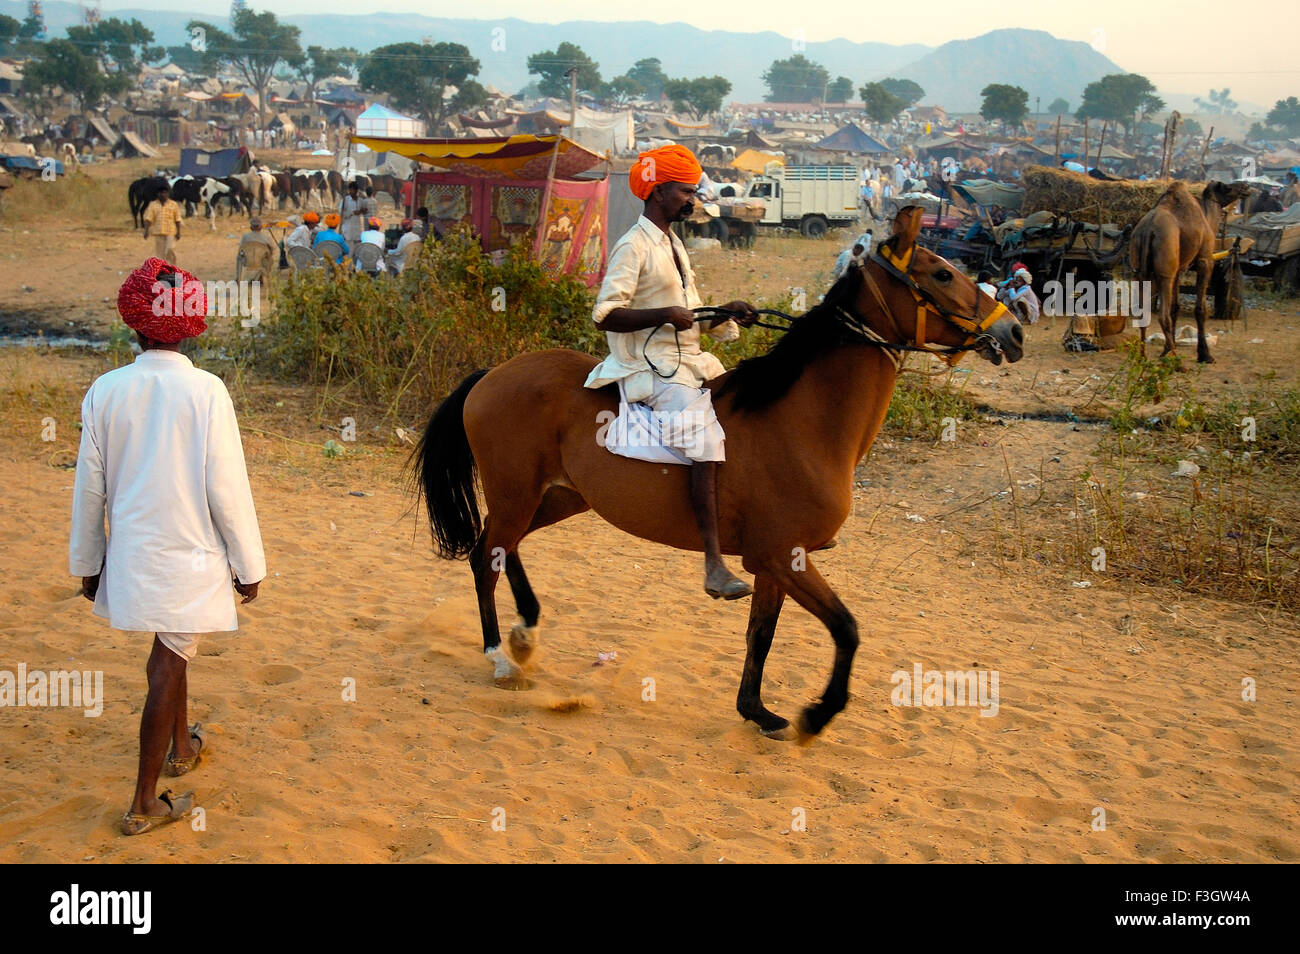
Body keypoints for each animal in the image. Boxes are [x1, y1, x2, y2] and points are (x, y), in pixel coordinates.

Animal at [416, 207, 1024, 738]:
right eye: (941, 273)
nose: (1014, 332)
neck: (802, 420)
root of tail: (493, 373)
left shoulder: (777, 564)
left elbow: (762, 636)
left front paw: (756, 710)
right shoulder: (782, 556)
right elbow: (846, 629)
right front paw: (817, 715)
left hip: (557, 497)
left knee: (504, 547)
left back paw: (525, 632)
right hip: (519, 494)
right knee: (485, 557)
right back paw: (501, 657)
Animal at [1133, 179, 1253, 361]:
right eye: (1227, 187)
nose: (1246, 187)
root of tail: (1148, 229)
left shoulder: (1178, 270)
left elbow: (1175, 307)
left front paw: (1166, 349)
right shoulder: (1205, 262)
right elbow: (1200, 309)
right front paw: (1205, 354)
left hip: (1140, 271)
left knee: (1143, 313)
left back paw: (1142, 357)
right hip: (1164, 271)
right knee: (1162, 316)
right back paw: (1177, 361)